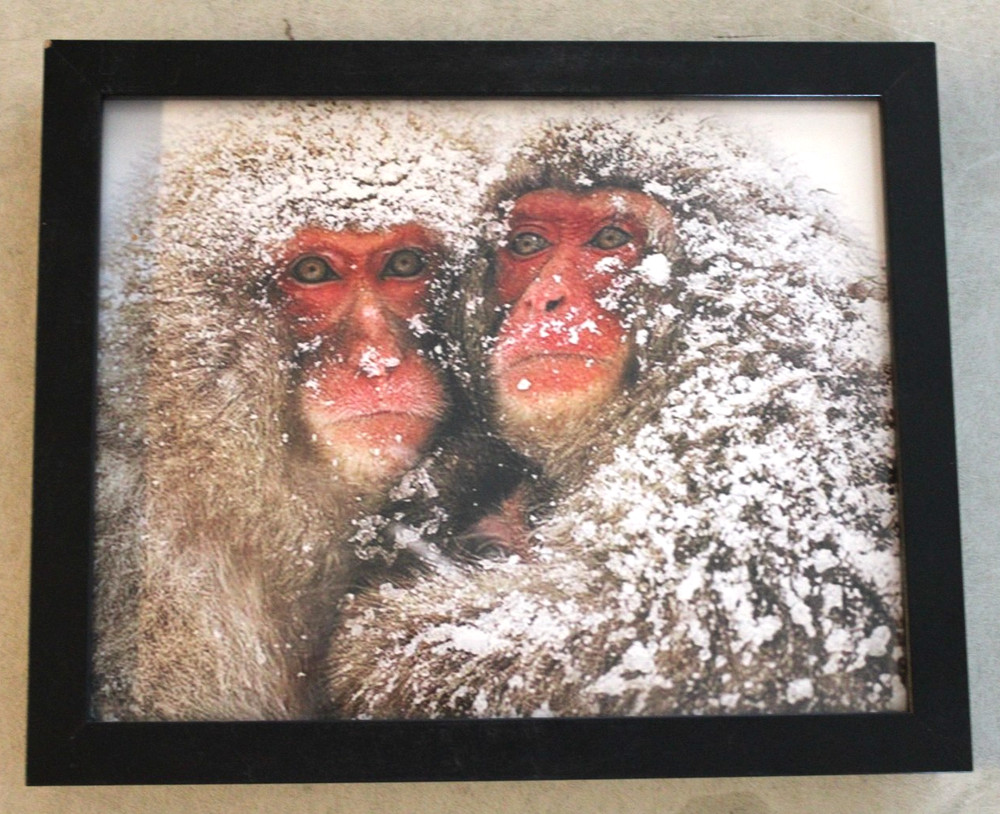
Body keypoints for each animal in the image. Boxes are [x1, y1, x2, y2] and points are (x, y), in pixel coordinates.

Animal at [323, 111, 905, 718]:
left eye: (610, 239)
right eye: (528, 244)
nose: (545, 301)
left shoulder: (746, 426)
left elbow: (655, 631)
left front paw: (369, 636)